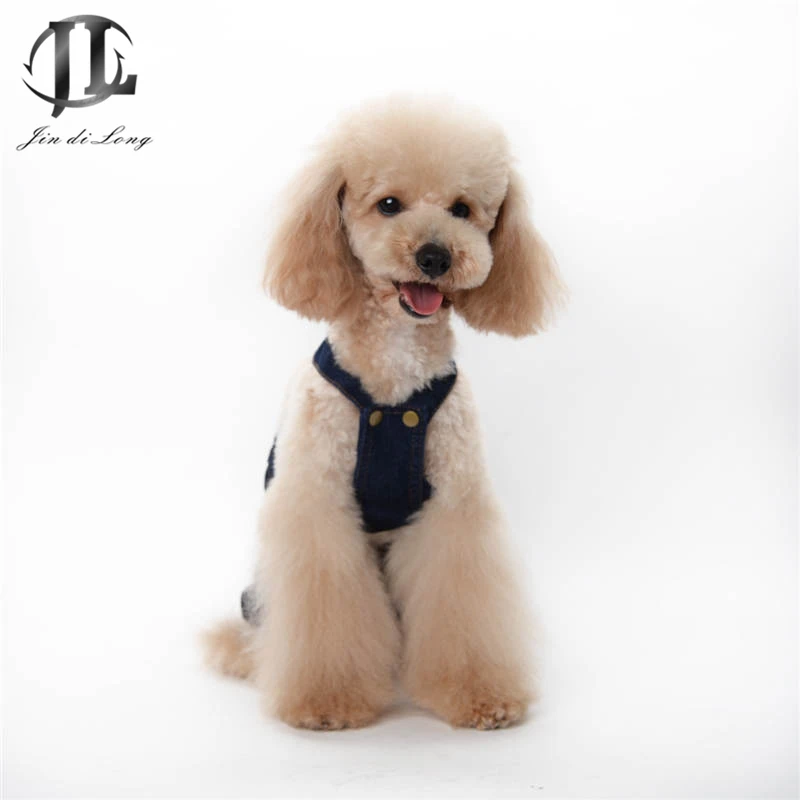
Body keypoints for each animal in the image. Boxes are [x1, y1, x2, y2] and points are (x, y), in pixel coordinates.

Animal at [203, 97, 563, 730]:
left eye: (463, 209)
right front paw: (326, 702)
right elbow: (327, 613)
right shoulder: (318, 507)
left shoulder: (454, 508)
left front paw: (481, 694)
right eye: (389, 204)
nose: (435, 256)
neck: (395, 384)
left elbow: (463, 605)